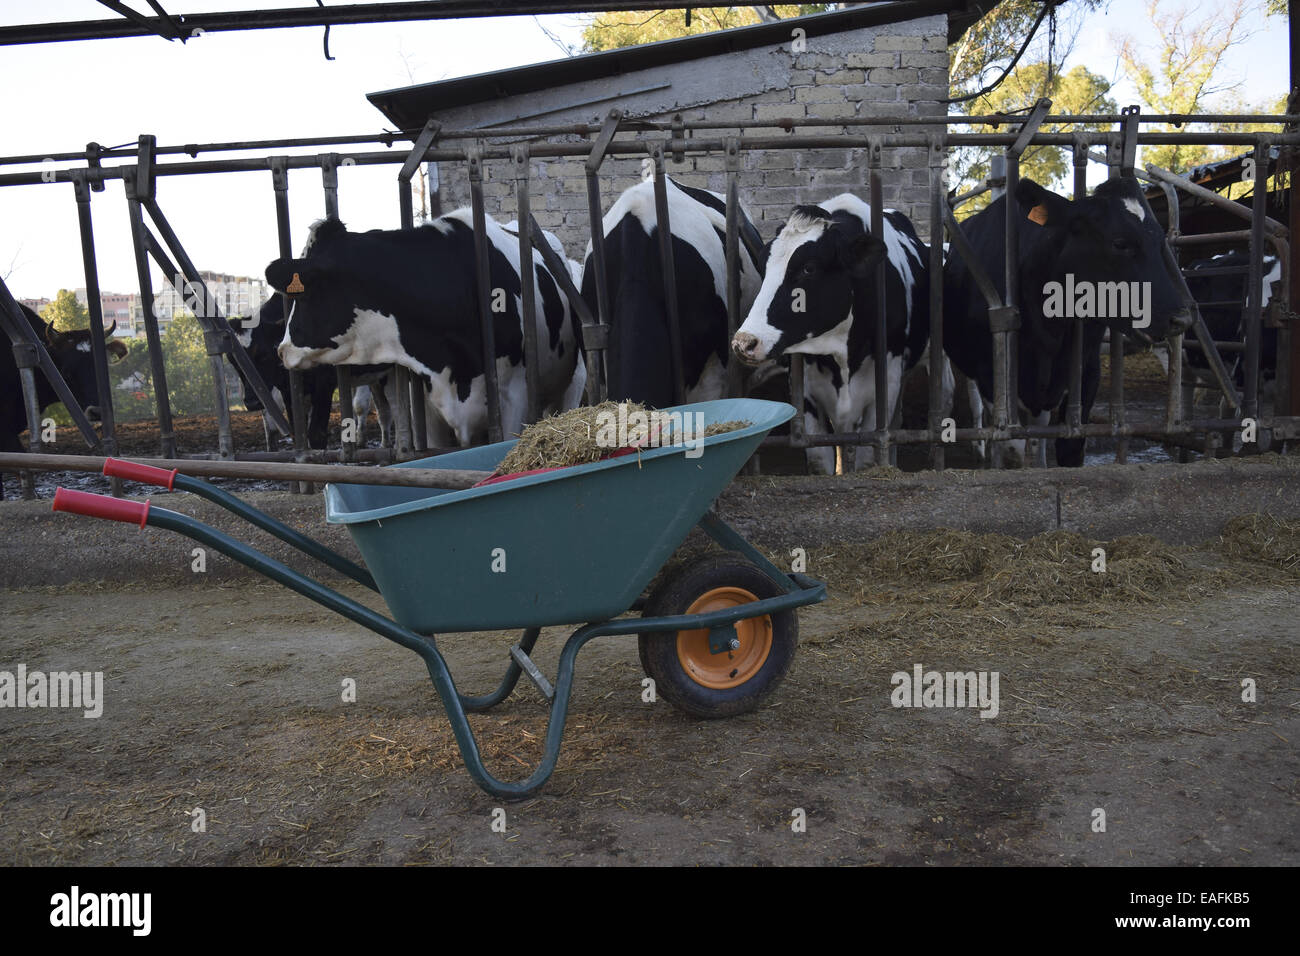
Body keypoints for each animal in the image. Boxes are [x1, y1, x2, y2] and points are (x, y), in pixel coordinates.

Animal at [733, 195, 935, 476]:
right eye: (764, 266)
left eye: (809, 268)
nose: (744, 342)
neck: (842, 354)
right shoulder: (806, 395)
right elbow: (820, 459)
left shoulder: (886, 386)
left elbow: (868, 456)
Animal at [946, 178, 1190, 468]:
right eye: (1120, 243)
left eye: (1160, 242)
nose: (1181, 317)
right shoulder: (990, 373)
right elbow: (1012, 445)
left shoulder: (1087, 367)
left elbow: (1069, 448)